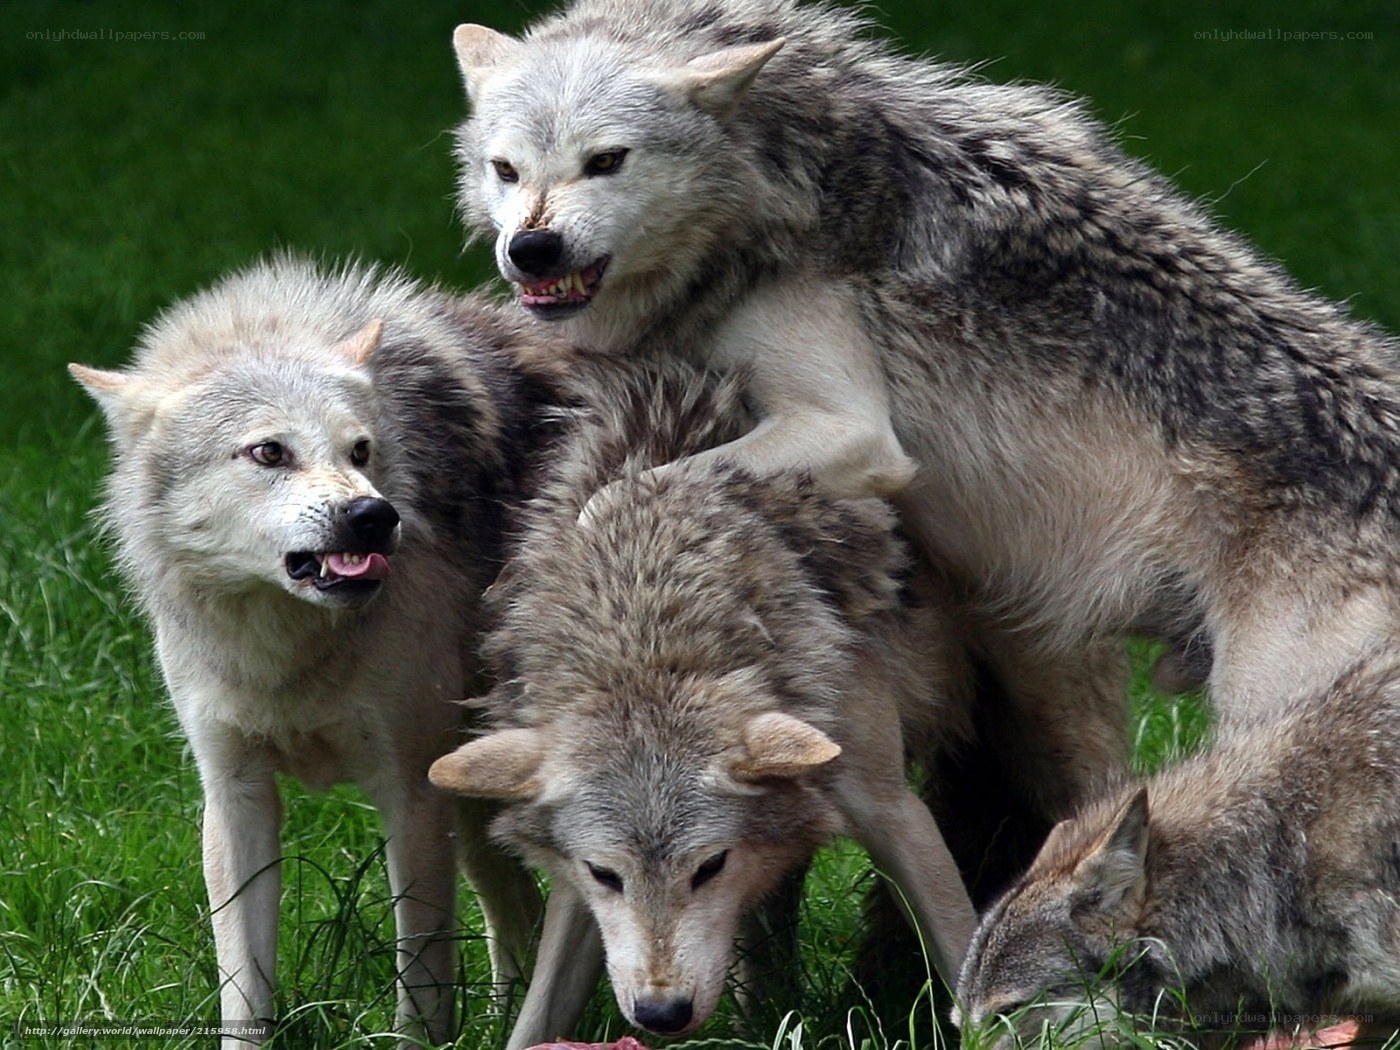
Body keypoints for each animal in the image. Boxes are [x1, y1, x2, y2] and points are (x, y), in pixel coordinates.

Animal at [70, 257, 550, 1046]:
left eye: (360, 452)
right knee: (520, 916)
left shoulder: (409, 793)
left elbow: (421, 976)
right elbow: (244, 991)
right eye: (270, 451)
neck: (285, 648)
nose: (373, 515)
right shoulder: (234, 795)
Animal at [428, 357, 981, 1047]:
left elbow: (965, 956)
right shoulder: (577, 891)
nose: (661, 1014)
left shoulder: (892, 811)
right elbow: (535, 1016)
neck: (650, 623)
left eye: (710, 866)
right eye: (606, 876)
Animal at [448, 0, 1400, 812]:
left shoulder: (850, 432)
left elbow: (621, 494)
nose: (532, 249)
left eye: (606, 161)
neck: (786, 173)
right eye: (507, 171)